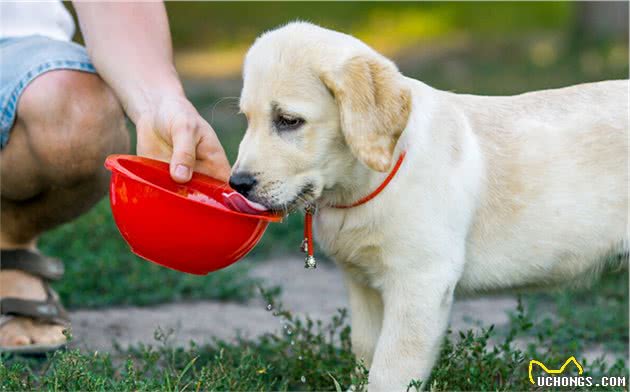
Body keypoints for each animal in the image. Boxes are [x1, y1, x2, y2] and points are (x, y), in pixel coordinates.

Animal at [232, 22, 630, 388]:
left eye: (288, 121)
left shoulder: (421, 282)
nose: (238, 184)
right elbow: (365, 351)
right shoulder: (363, 285)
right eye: (247, 119)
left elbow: (389, 371)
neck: (366, 183)